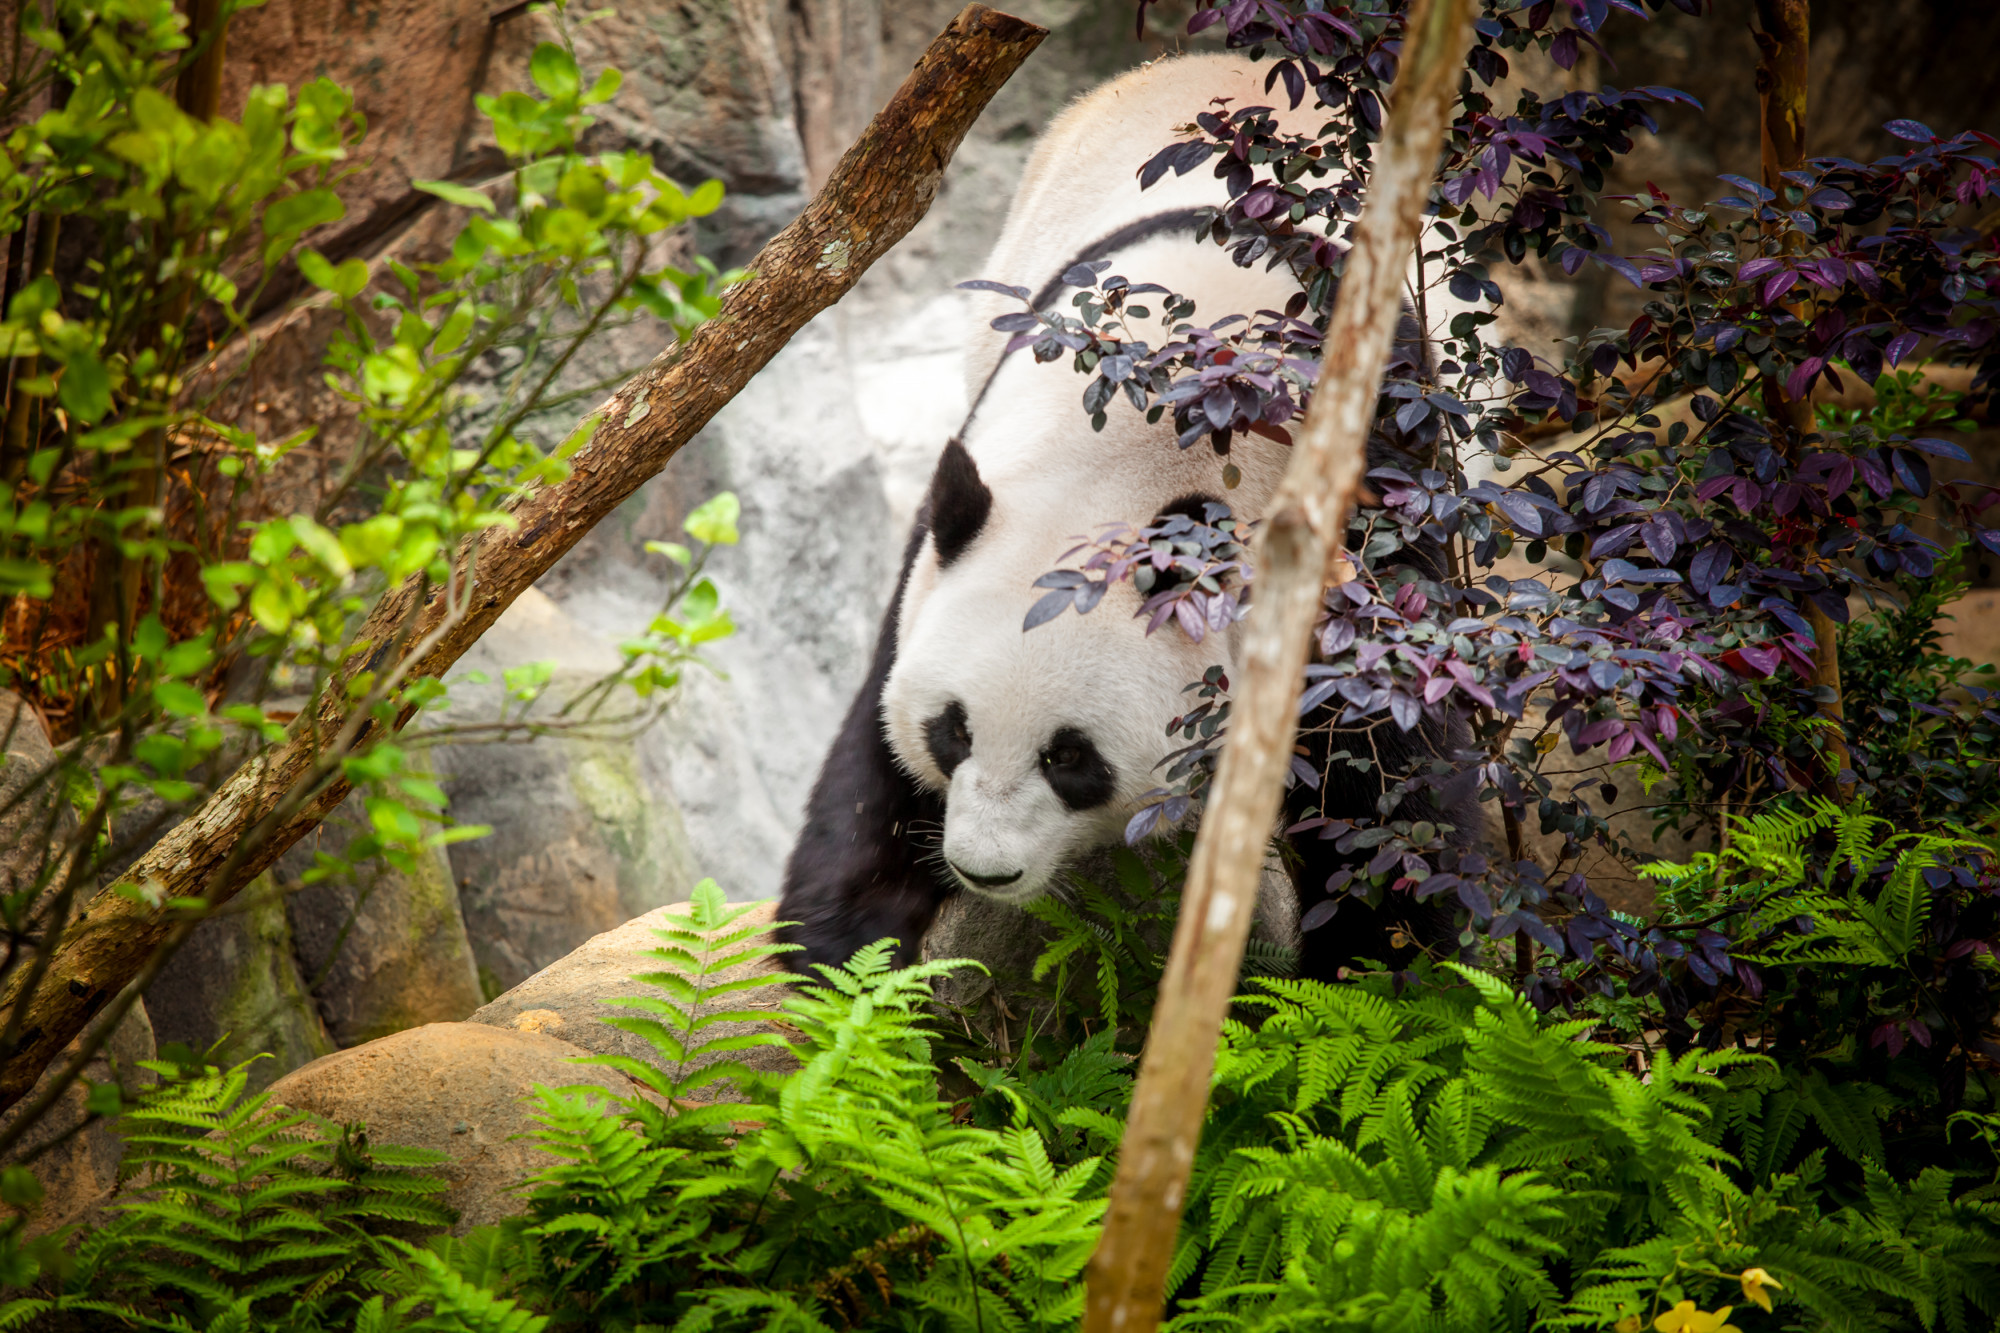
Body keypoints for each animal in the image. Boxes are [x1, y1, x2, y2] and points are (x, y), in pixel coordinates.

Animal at [776, 54, 1472, 984]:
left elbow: (1384, 780)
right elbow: (872, 758)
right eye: (953, 730)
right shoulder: (954, 523)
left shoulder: (1365, 498)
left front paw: (1383, 975)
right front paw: (838, 957)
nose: (981, 869)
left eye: (1071, 757)